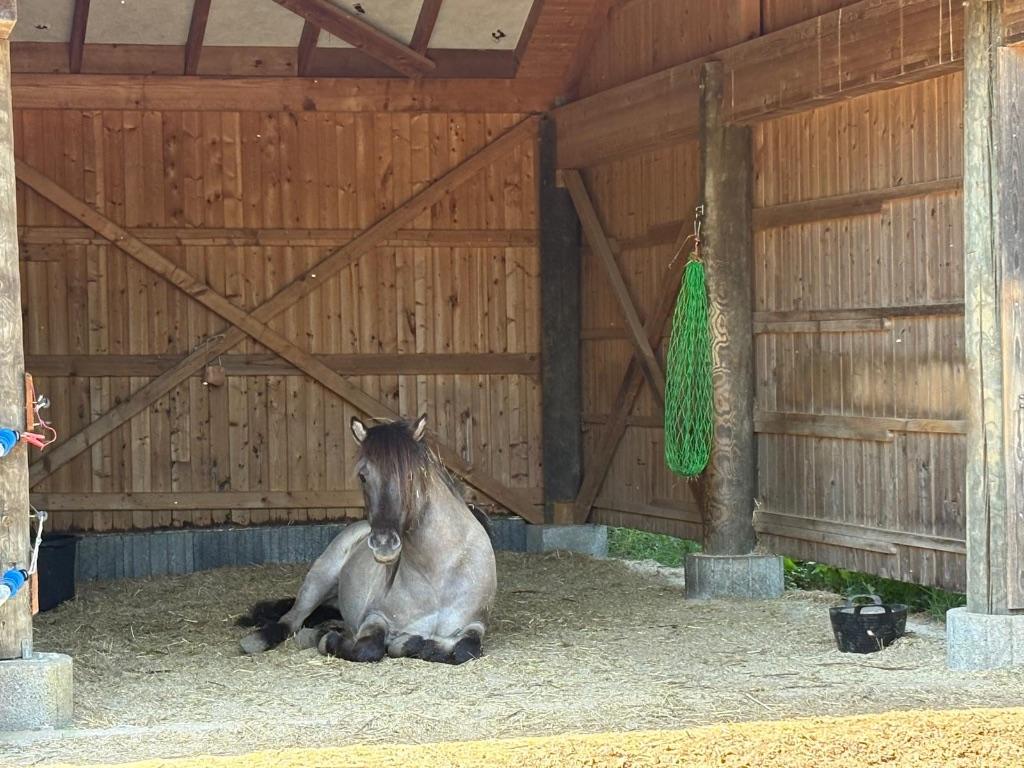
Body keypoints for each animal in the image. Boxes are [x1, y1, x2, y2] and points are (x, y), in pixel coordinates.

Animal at [238, 414, 497, 665]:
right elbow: (368, 647)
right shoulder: (375, 617)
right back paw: (262, 640)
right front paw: (329, 640)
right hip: (318, 581)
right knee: (290, 620)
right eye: (363, 476)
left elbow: (465, 649)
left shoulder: (475, 624)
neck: (437, 578)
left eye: (410, 475)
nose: (384, 544)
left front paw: (409, 643)